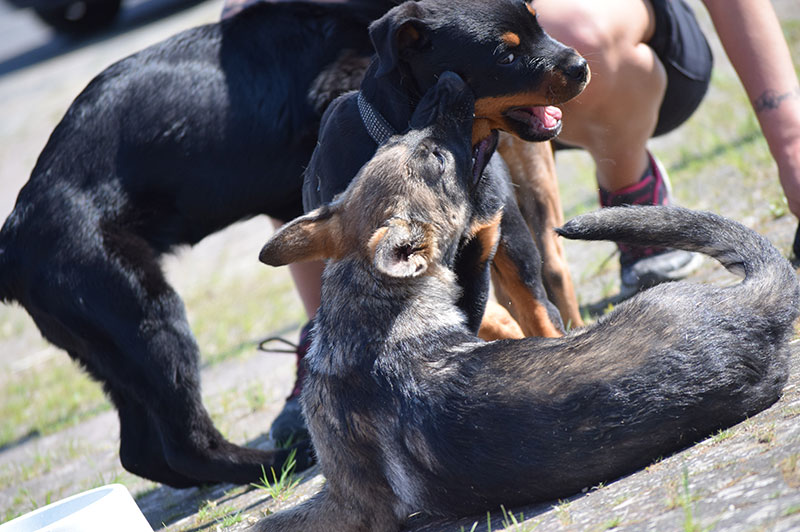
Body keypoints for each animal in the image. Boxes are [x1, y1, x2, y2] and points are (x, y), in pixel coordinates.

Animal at [0, 0, 396, 488]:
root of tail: (14, 235)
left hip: (112, 352)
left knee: (141, 453)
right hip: (146, 315)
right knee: (184, 444)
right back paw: (277, 461)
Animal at [258, 71, 800, 532]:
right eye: (431, 155)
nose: (449, 82)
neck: (369, 307)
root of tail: (753, 310)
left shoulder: (348, 503)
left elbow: (271, 521)